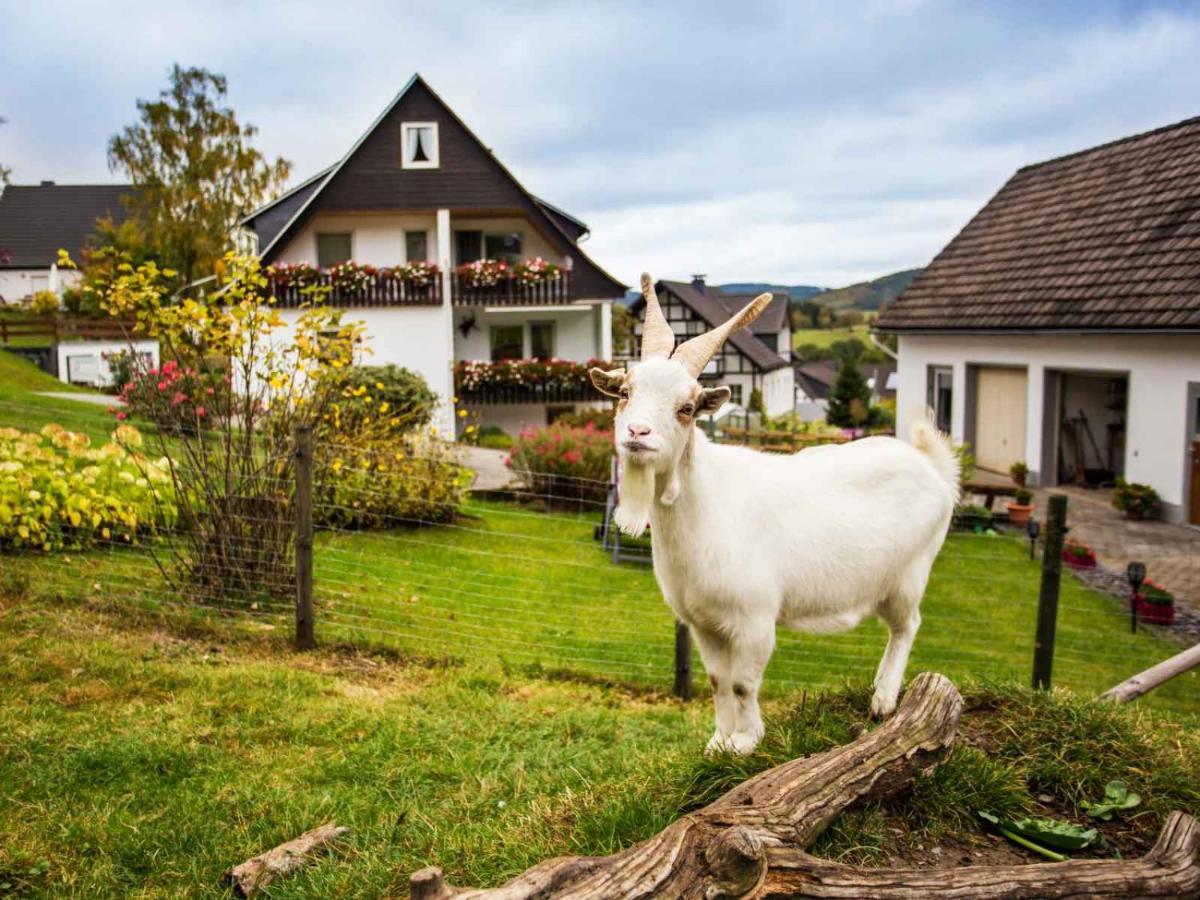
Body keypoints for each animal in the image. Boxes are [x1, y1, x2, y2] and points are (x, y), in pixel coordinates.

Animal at [590, 278, 955, 758]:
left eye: (687, 407)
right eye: (625, 392)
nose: (637, 433)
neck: (705, 507)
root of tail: (932, 465)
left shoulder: (754, 620)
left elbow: (743, 684)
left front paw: (746, 741)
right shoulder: (703, 623)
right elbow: (717, 680)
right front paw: (719, 741)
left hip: (911, 573)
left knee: (907, 625)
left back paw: (884, 697)